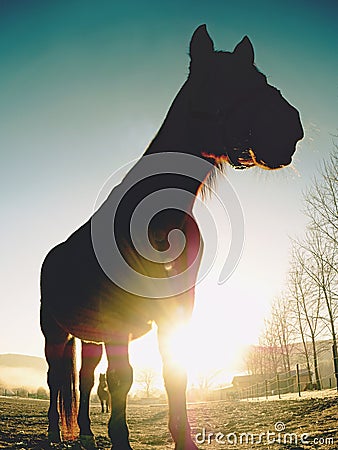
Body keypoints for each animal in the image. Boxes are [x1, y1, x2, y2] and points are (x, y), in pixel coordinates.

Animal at [40, 25, 304, 450]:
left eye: (259, 77)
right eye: (218, 81)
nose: (289, 126)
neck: (157, 219)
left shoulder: (176, 310)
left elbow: (174, 373)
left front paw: (183, 438)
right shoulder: (118, 320)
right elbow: (122, 379)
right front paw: (120, 439)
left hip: (91, 339)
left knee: (84, 379)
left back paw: (86, 433)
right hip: (56, 332)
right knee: (54, 380)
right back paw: (53, 432)